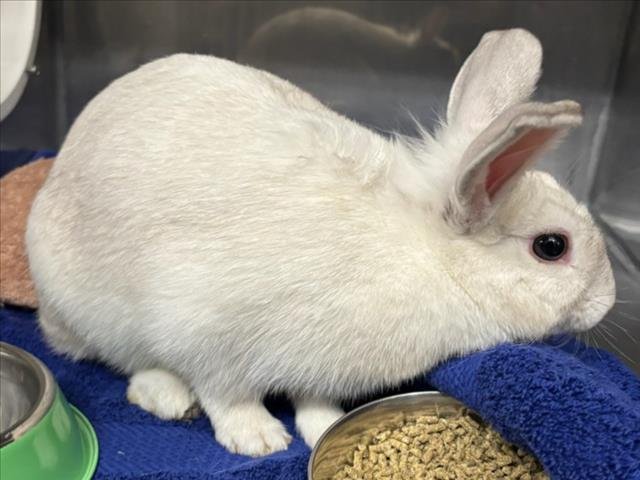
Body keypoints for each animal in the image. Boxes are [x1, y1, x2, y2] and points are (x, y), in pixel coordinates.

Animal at [26, 29, 615, 457]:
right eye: (551, 247)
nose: (608, 300)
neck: (431, 257)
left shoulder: (323, 364)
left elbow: (315, 397)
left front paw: (323, 426)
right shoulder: (207, 336)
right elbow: (227, 396)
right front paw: (260, 441)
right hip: (91, 311)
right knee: (122, 360)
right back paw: (169, 396)